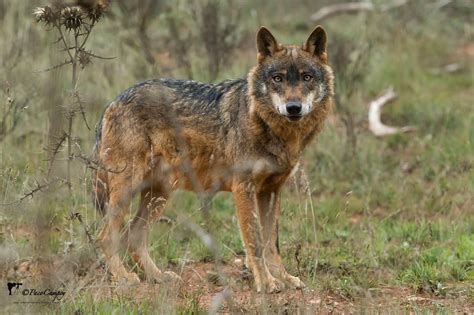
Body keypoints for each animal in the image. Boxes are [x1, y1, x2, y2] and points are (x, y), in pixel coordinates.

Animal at [93, 25, 334, 296]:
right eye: (278, 79)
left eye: (306, 77)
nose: (293, 107)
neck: (272, 130)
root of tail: (113, 102)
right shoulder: (244, 189)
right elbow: (255, 241)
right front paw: (266, 282)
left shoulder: (271, 191)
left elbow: (271, 243)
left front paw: (283, 278)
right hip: (129, 190)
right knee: (105, 236)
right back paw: (123, 277)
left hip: (160, 193)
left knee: (134, 236)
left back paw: (158, 277)